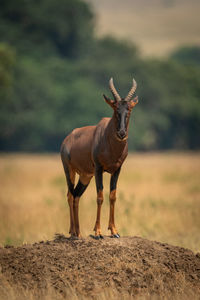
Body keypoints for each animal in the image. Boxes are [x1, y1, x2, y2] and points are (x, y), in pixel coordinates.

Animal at [61, 78, 138, 239]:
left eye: (129, 110)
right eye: (115, 109)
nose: (122, 133)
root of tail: (67, 138)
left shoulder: (117, 170)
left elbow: (112, 196)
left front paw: (114, 231)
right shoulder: (98, 169)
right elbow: (100, 196)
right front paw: (98, 232)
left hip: (85, 176)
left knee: (76, 195)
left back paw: (78, 233)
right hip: (69, 170)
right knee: (70, 195)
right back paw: (72, 232)